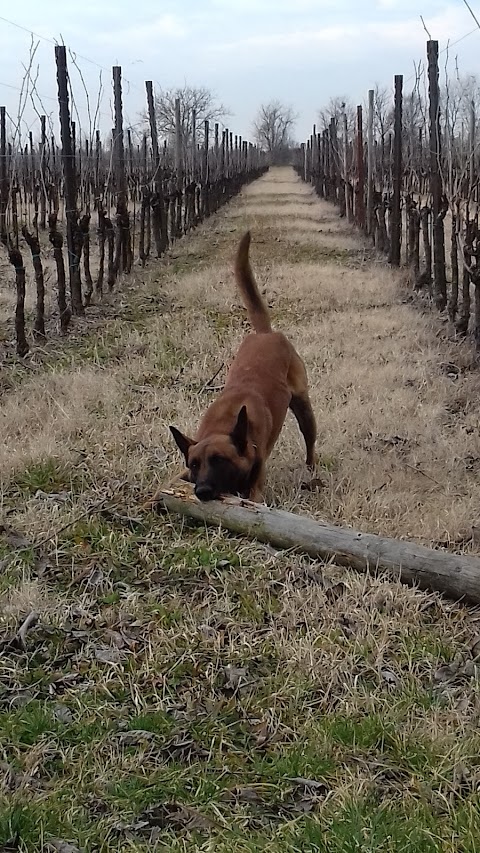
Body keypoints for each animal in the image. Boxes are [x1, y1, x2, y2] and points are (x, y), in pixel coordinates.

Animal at [170, 230, 318, 502]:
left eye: (219, 460)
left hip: (304, 407)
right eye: (194, 464)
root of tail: (266, 333)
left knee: (310, 442)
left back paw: (311, 470)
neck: (224, 423)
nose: (202, 492)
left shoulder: (255, 490)